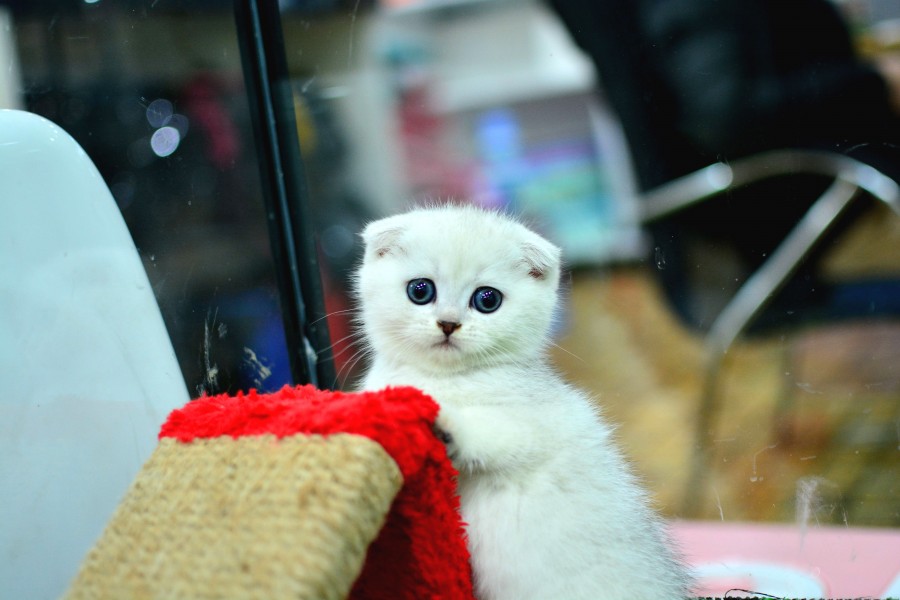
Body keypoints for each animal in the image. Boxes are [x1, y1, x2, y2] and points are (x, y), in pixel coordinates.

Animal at [354, 204, 690, 600]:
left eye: (487, 300)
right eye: (420, 291)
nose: (448, 323)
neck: (446, 378)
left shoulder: (539, 425)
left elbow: (498, 432)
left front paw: (447, 424)